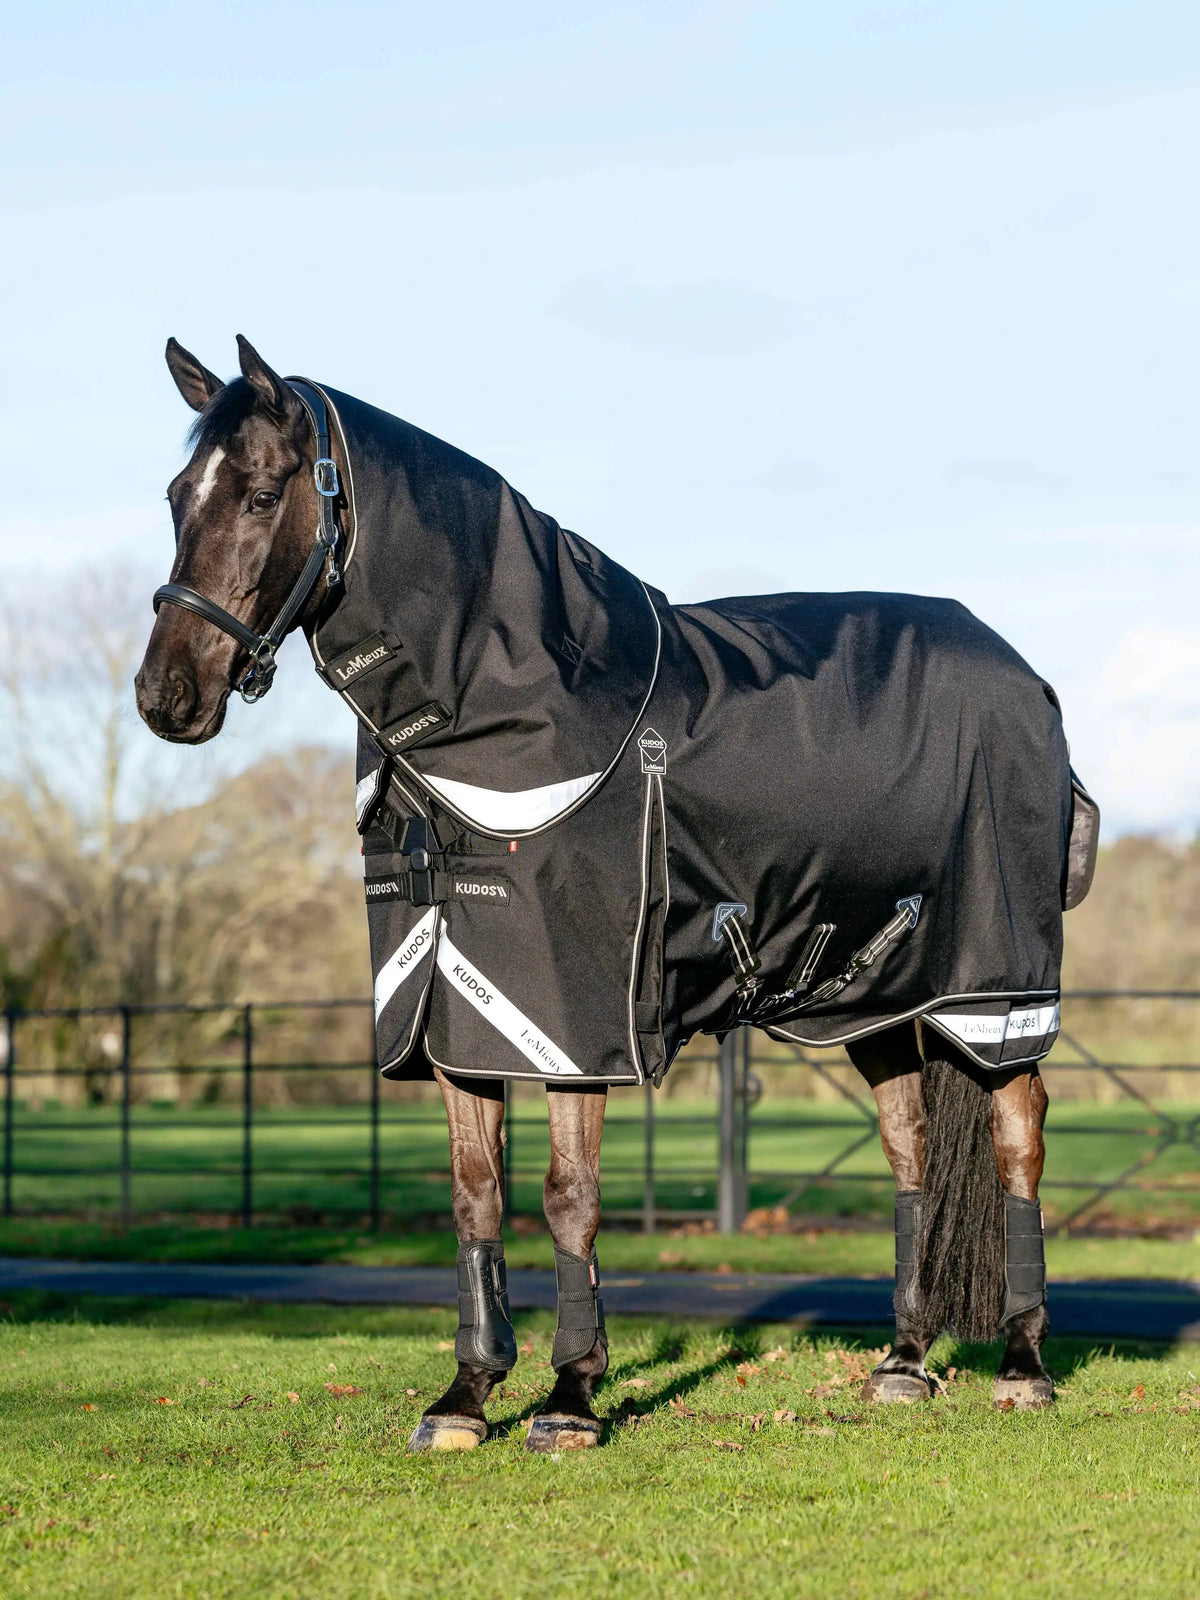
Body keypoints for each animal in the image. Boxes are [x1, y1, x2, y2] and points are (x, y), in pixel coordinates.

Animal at [136, 335, 1098, 1450]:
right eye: (177, 496)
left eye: (258, 494)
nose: (165, 696)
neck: (512, 707)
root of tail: (1029, 682)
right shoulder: (454, 1013)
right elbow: (475, 1197)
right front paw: (465, 1397)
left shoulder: (571, 1022)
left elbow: (569, 1196)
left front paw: (570, 1397)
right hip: (883, 996)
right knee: (910, 1146)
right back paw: (901, 1362)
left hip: (995, 991)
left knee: (1019, 1138)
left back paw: (1024, 1364)